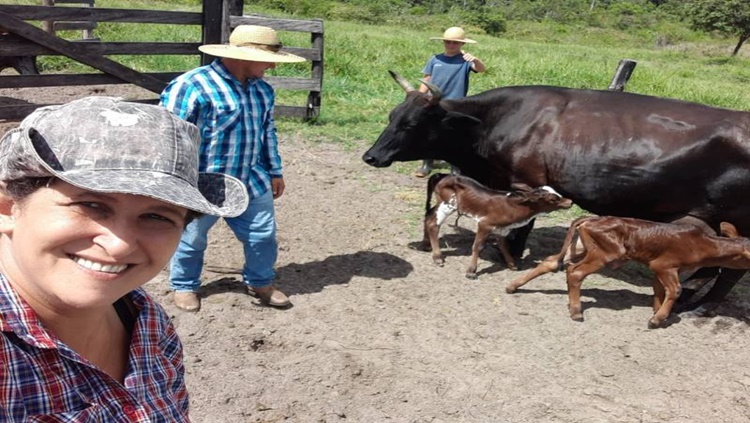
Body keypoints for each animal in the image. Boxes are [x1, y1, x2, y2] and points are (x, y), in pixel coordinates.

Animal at [422, 173, 573, 278]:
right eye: (553, 199)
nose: (570, 202)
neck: (515, 206)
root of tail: (443, 175)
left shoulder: (503, 229)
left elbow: (504, 246)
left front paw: (512, 265)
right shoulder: (484, 224)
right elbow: (477, 246)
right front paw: (471, 271)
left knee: (428, 217)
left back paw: (427, 245)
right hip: (447, 205)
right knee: (433, 224)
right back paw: (437, 257)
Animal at [504, 216, 750, 328]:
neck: (703, 244)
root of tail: (589, 218)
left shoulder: (658, 268)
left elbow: (659, 290)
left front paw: (656, 311)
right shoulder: (664, 265)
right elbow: (675, 289)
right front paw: (658, 319)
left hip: (583, 246)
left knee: (552, 262)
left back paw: (513, 286)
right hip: (607, 252)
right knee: (574, 272)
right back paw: (576, 311)